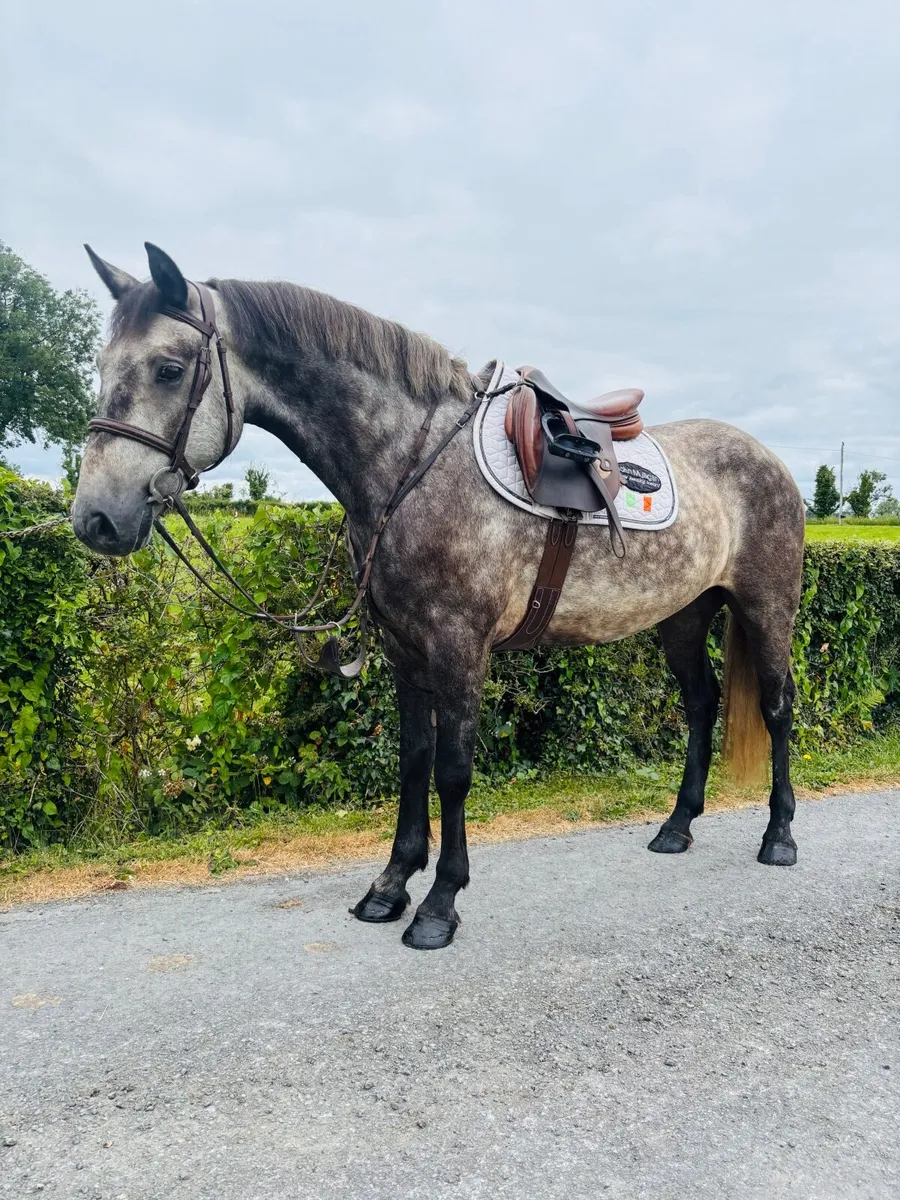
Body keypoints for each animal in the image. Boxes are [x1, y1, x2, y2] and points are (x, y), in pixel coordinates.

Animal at [73, 242, 806, 951]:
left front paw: (439, 904)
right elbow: (414, 761)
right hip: (682, 617)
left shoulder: (459, 647)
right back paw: (677, 826)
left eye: (169, 369)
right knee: (701, 703)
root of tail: (769, 460)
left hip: (767, 608)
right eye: (102, 364)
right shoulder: (405, 652)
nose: (95, 520)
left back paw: (779, 837)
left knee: (775, 708)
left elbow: (452, 770)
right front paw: (390, 885)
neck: (408, 464)